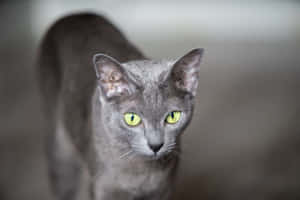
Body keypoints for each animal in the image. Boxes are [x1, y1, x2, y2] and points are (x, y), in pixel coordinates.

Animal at [35, 12, 204, 200]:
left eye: (173, 116)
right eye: (132, 118)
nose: (155, 145)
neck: (141, 176)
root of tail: (75, 14)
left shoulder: (163, 191)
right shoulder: (103, 189)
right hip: (61, 154)